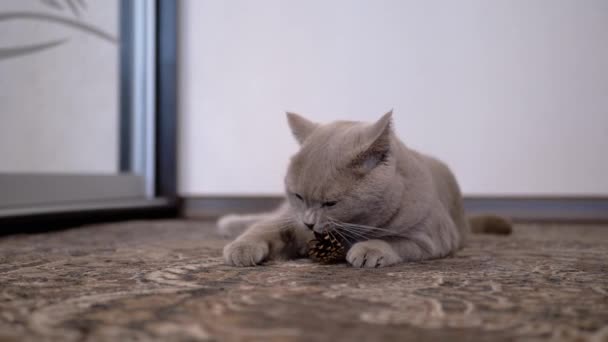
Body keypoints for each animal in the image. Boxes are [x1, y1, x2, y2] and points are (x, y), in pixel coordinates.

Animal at [218, 111, 508, 268]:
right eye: (298, 196)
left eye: (330, 203)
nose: (310, 223)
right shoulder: (292, 217)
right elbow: (265, 228)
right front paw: (241, 248)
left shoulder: (432, 236)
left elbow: (395, 241)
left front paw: (370, 250)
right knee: (267, 216)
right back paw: (229, 224)